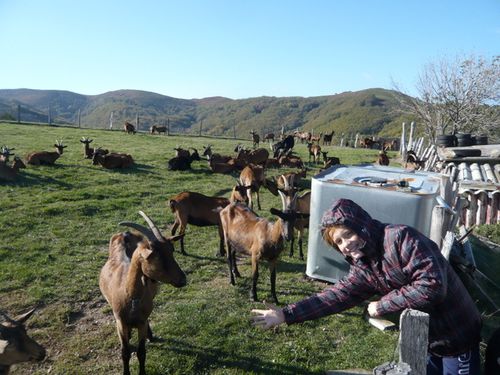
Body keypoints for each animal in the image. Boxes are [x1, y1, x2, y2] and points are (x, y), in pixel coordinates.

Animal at [99, 212, 188, 375]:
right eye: (156, 256)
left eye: (171, 251)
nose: (182, 279)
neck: (130, 296)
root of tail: (125, 234)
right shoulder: (120, 322)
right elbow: (125, 352)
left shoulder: (141, 322)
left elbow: (141, 352)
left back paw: (150, 335)